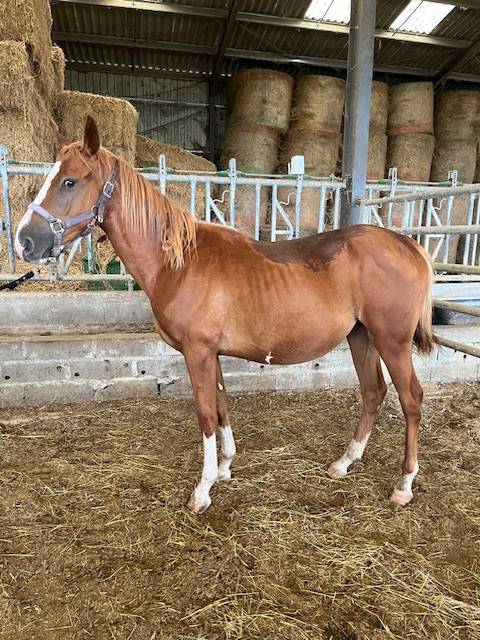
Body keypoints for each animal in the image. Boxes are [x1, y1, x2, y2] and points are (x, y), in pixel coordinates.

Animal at [15, 117, 436, 514]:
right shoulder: (211, 354)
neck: (179, 263)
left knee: (411, 399)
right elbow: (221, 408)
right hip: (361, 336)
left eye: (69, 181)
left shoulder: (197, 352)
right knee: (373, 392)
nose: (24, 241)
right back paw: (345, 462)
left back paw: (404, 484)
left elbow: (205, 415)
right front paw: (225, 467)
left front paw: (202, 491)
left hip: (391, 341)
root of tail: (408, 245)